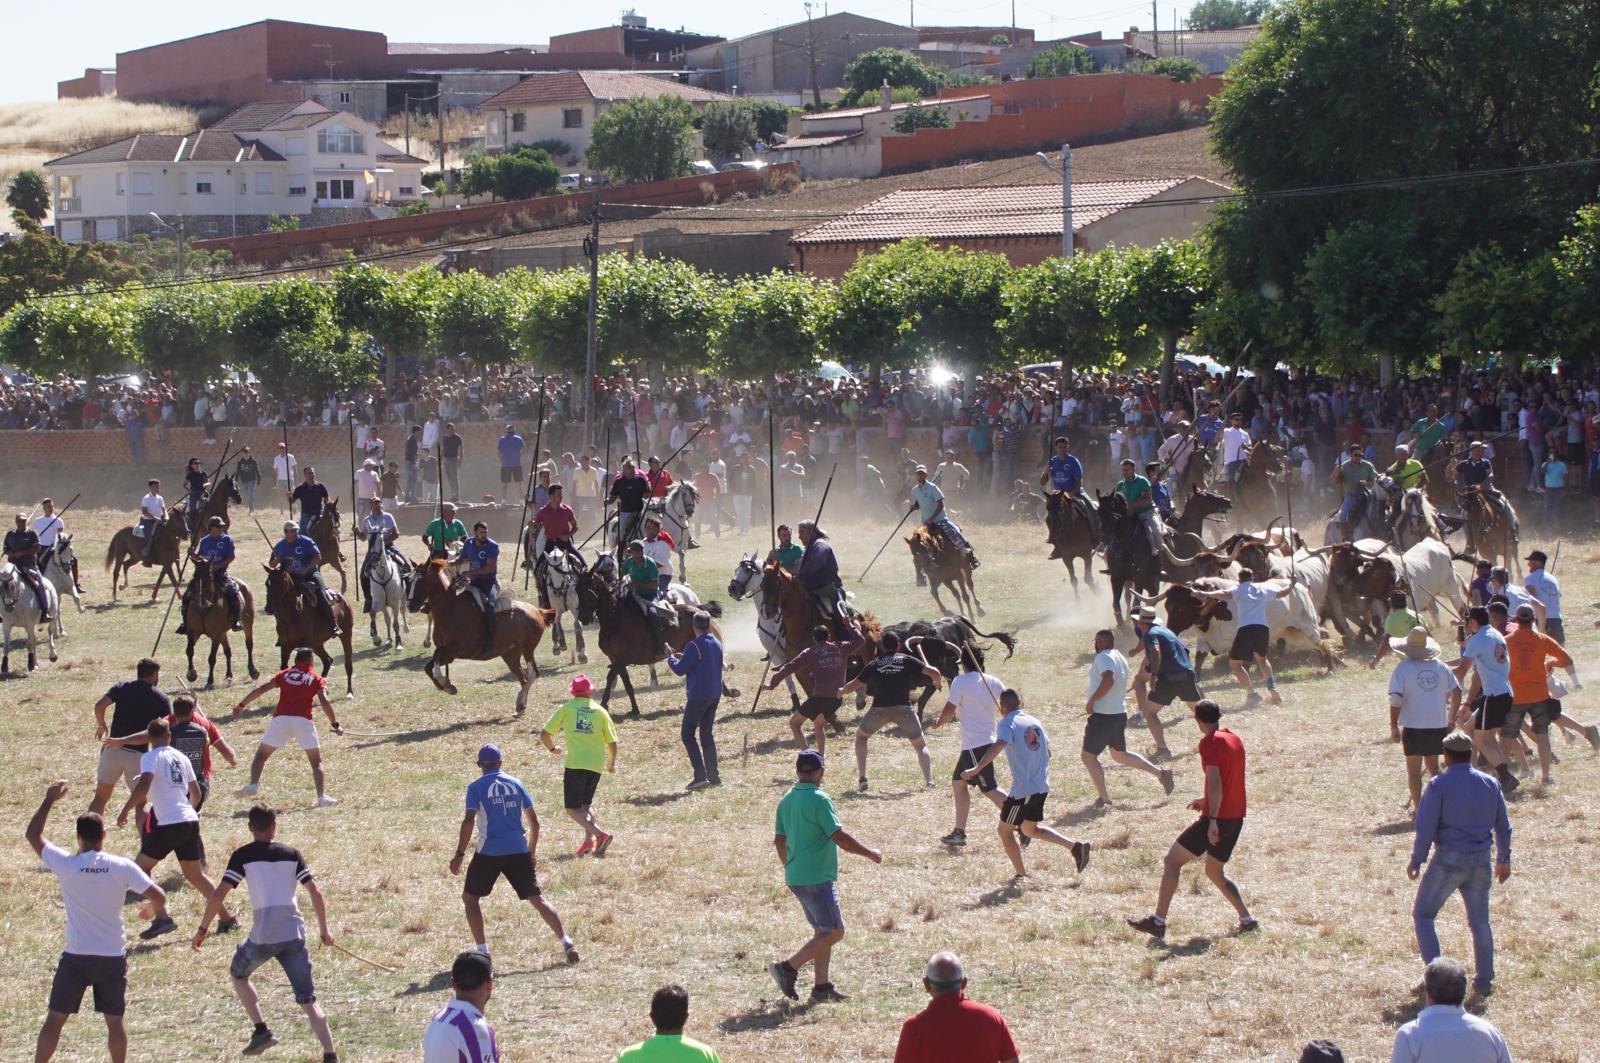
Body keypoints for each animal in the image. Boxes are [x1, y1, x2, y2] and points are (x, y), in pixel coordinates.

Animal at [182, 560, 259, 694]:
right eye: (195, 576)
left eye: (209, 576)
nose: (201, 601)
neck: (203, 609)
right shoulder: (193, 632)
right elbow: (189, 650)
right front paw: (191, 674)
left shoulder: (216, 634)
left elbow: (212, 658)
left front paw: (209, 681)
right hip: (223, 632)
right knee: (227, 650)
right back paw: (229, 675)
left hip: (247, 624)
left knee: (249, 645)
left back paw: (253, 671)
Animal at [262, 563, 353, 697]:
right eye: (267, 584)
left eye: (279, 583)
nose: (268, 608)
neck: (293, 614)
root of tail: (343, 599)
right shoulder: (286, 646)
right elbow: (284, 668)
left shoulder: (306, 645)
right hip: (317, 644)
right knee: (327, 661)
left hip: (346, 635)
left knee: (348, 664)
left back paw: (349, 692)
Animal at [406, 557, 556, 714]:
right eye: (410, 580)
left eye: (422, 580)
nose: (410, 606)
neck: (449, 609)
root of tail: (538, 611)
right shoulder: (448, 655)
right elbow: (428, 667)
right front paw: (447, 687)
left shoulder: (458, 650)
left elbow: (435, 665)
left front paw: (446, 683)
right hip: (510, 654)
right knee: (523, 677)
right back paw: (520, 706)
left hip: (527, 648)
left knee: (533, 674)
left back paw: (521, 701)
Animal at [576, 560, 736, 717]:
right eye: (577, 591)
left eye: (589, 591)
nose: (583, 618)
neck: (615, 619)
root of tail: (699, 609)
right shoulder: (615, 659)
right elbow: (626, 683)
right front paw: (634, 709)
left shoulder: (622, 659)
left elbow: (610, 677)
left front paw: (604, 704)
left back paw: (727, 691)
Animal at [729, 550, 806, 710]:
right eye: (735, 570)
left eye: (748, 571)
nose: (732, 588)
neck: (772, 620)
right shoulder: (776, 655)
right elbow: (788, 678)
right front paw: (795, 702)